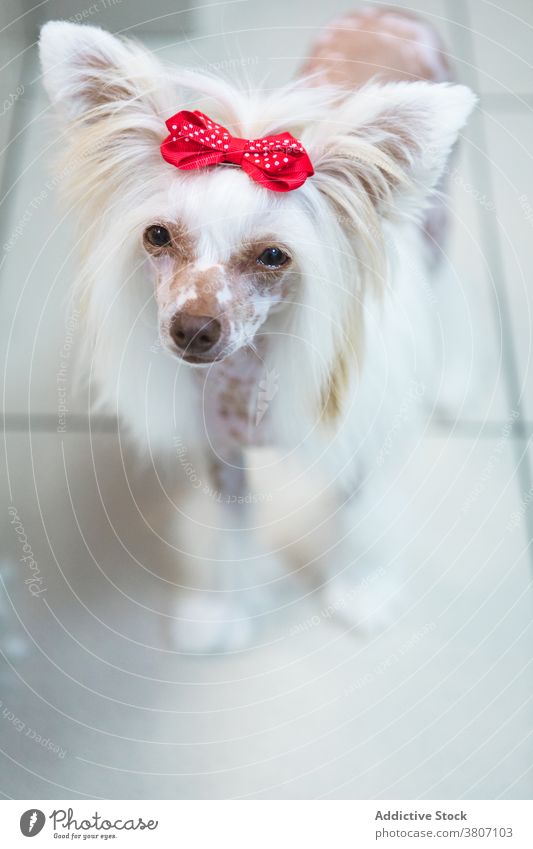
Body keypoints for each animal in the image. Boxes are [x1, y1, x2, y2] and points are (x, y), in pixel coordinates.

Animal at [40, 11, 474, 648]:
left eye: (274, 256)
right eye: (156, 235)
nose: (193, 330)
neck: (248, 369)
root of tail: (388, 13)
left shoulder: (354, 430)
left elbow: (352, 510)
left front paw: (357, 590)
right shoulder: (222, 450)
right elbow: (232, 521)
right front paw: (224, 610)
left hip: (437, 224)